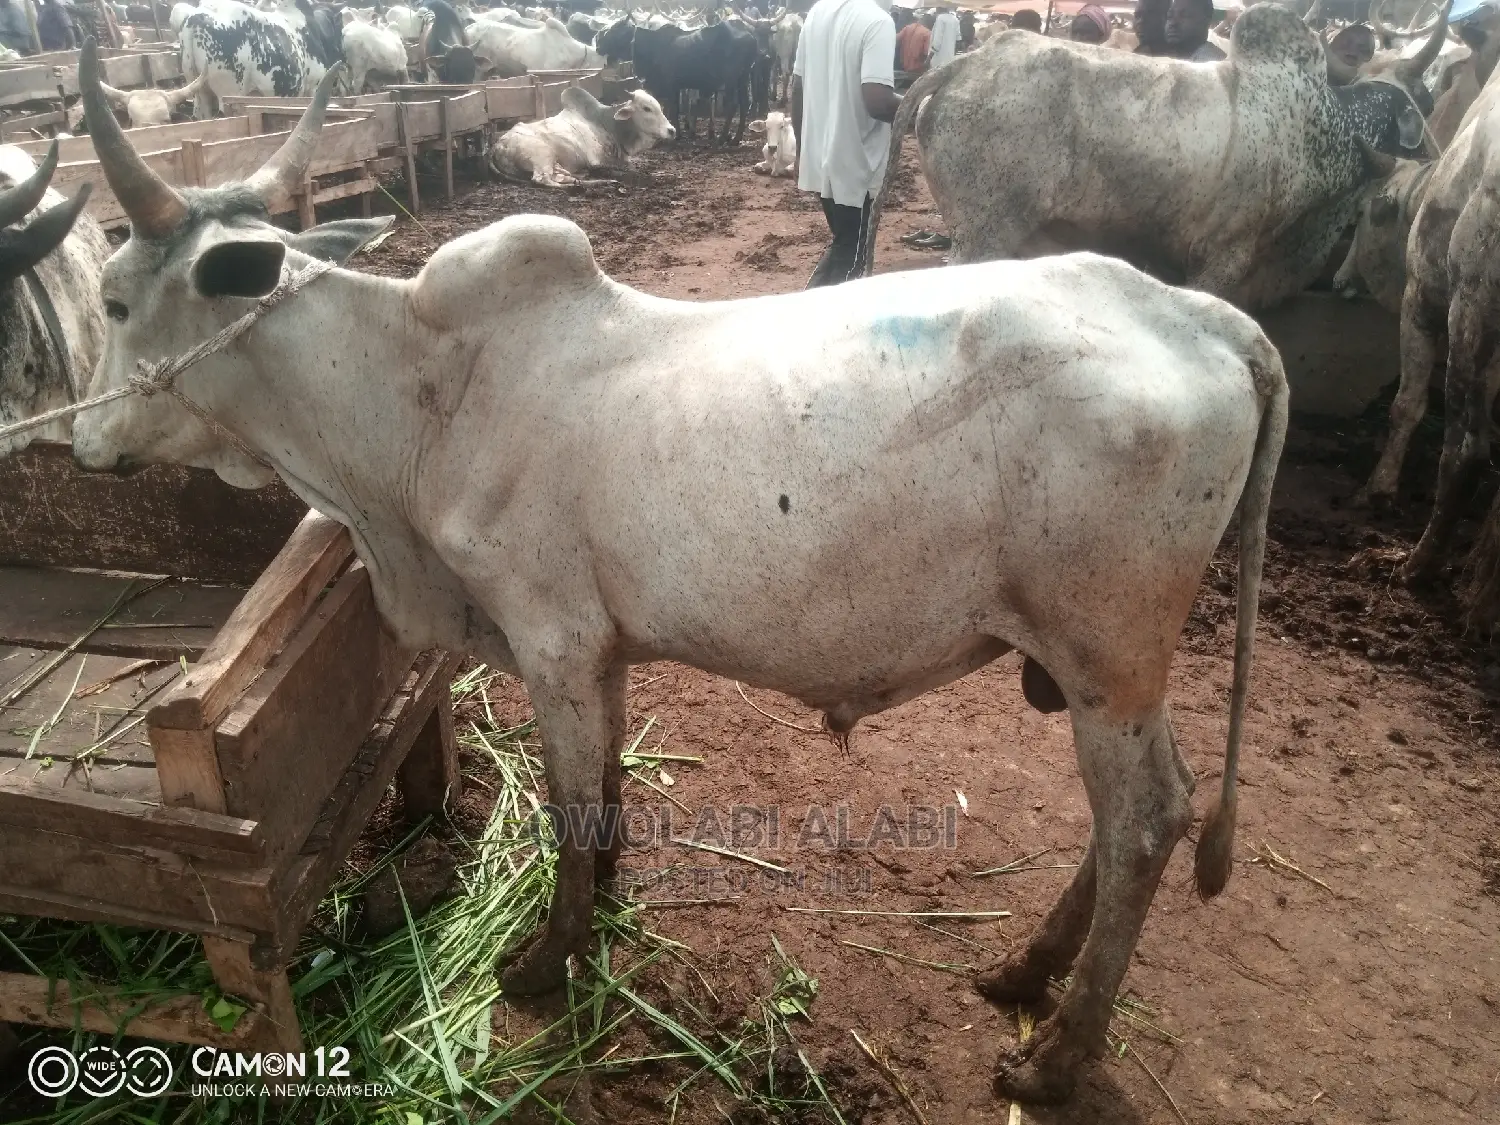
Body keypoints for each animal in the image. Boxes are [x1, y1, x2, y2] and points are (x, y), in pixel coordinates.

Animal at [488, 85, 674, 185]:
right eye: (646, 108)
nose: (672, 130)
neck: (606, 123)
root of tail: (497, 146)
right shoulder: (598, 161)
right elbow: (632, 171)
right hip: (542, 155)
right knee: (543, 179)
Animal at [861, 4, 1435, 311]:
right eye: (1420, 105)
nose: (1430, 156)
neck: (1329, 131)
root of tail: (965, 65)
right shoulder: (1222, 260)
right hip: (984, 234)